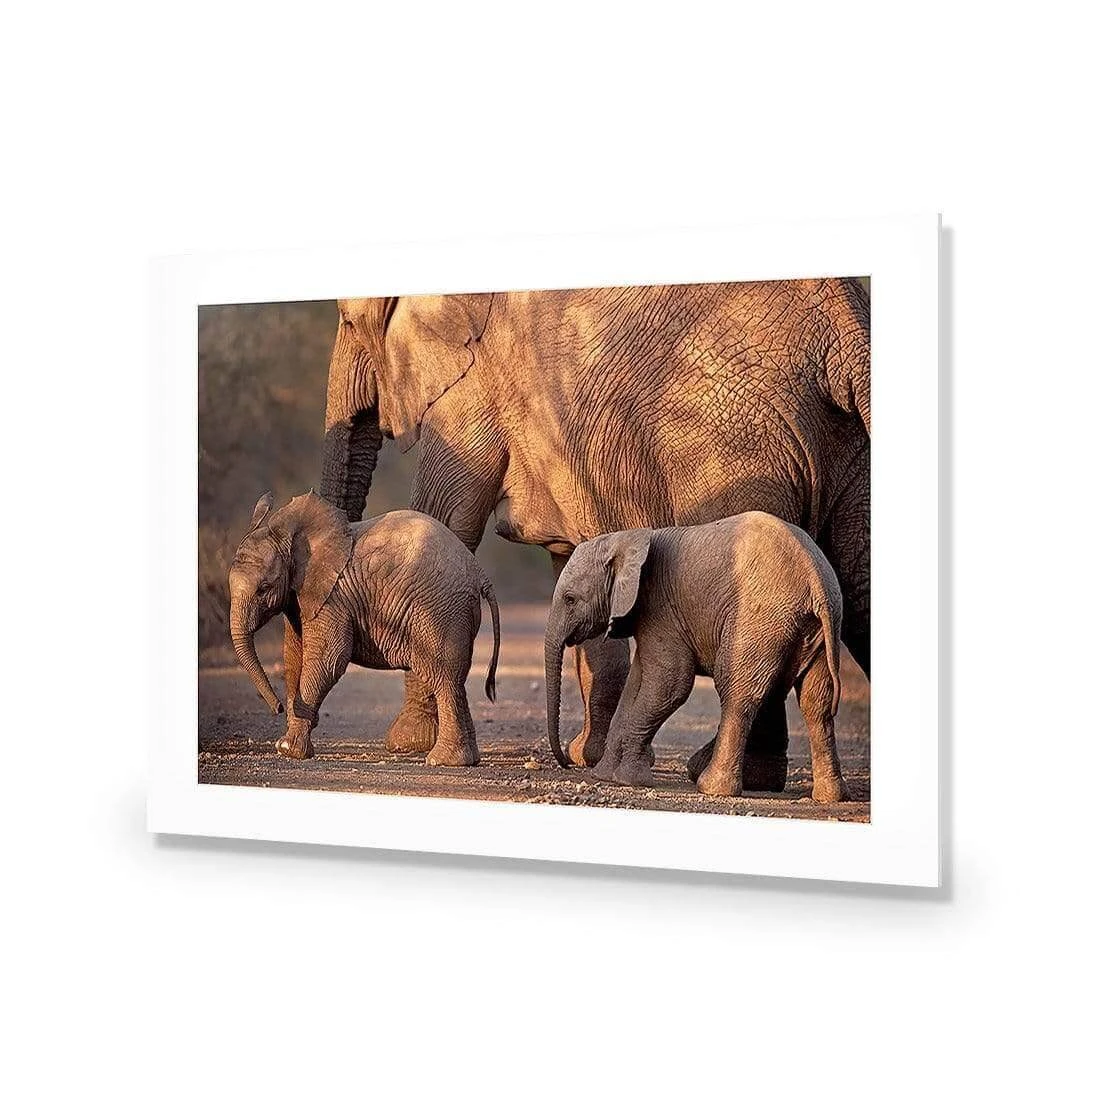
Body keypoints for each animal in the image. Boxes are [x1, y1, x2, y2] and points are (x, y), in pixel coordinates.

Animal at [227, 490, 500, 766]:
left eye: (264, 588)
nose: (278, 707)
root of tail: (479, 573)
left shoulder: (332, 598)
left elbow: (328, 660)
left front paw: (287, 749)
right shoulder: (299, 597)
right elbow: (294, 658)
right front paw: (292, 745)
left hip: (441, 612)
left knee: (445, 678)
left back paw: (442, 760)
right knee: (456, 680)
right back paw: (468, 760)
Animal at [544, 514, 850, 802]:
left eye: (570, 599)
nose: (566, 764)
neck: (627, 539)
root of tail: (815, 578)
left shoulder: (660, 607)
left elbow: (670, 685)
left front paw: (628, 779)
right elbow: (637, 684)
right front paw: (606, 775)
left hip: (758, 619)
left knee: (736, 693)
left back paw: (712, 787)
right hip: (818, 629)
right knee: (816, 703)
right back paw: (830, 796)